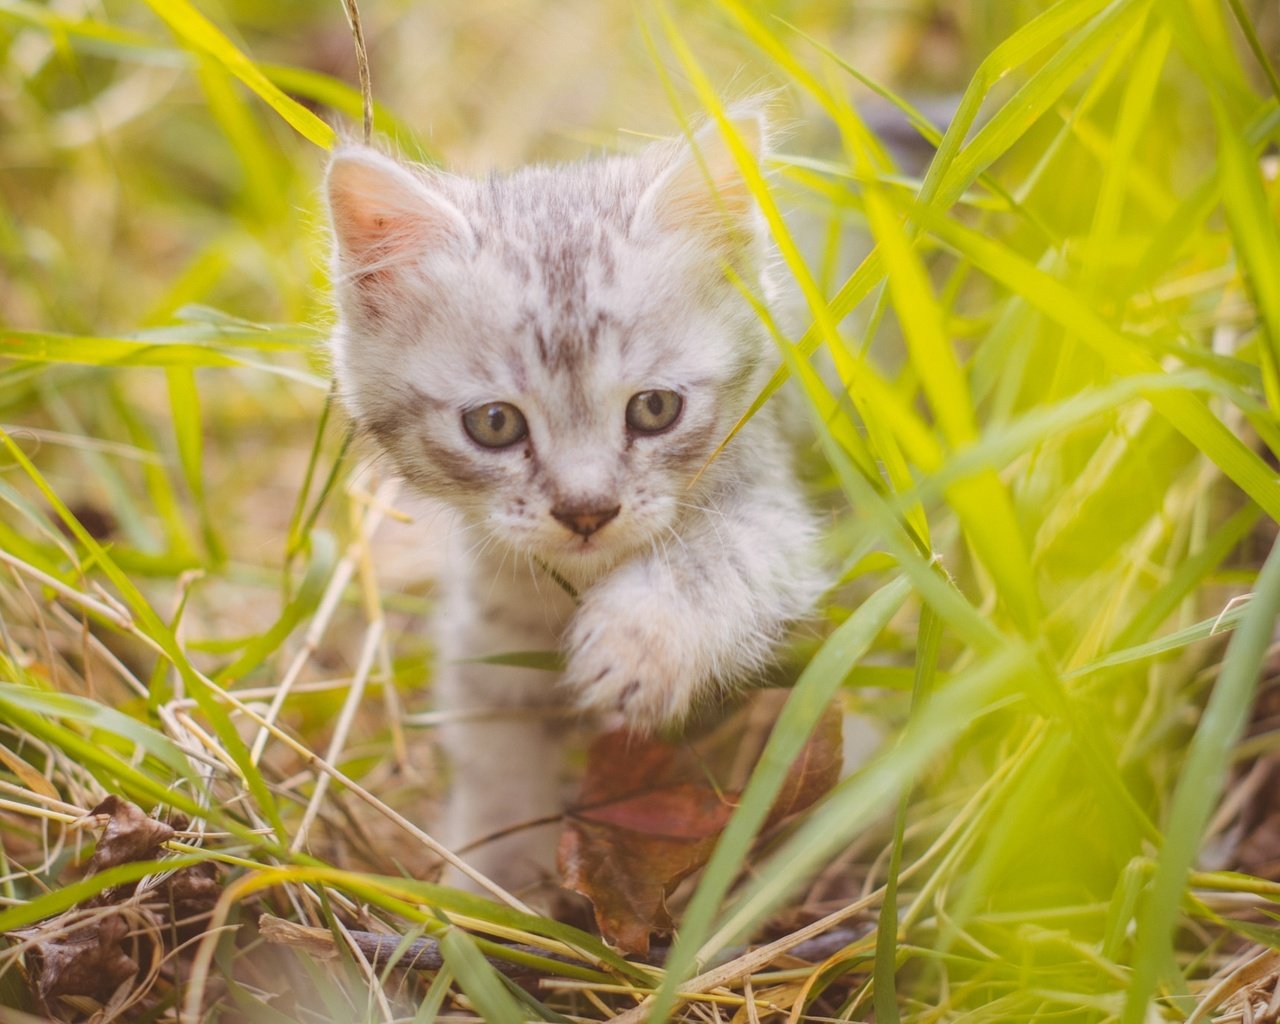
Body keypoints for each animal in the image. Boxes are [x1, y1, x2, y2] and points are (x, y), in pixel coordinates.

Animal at [320, 113, 819, 896]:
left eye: (654, 408)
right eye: (495, 423)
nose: (587, 510)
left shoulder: (776, 510)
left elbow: (718, 558)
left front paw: (640, 642)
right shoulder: (490, 619)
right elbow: (495, 746)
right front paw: (495, 882)